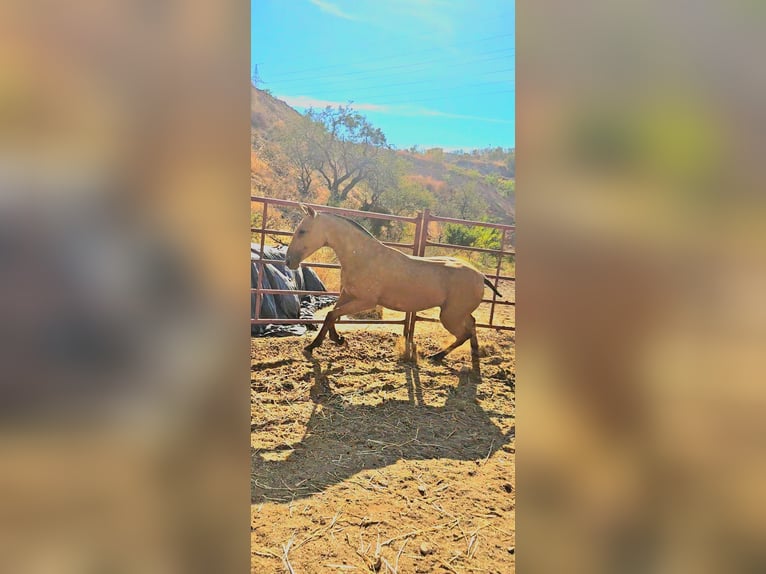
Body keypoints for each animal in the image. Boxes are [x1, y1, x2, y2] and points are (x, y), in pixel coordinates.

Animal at [285, 204, 503, 361]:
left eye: (302, 231)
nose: (288, 261)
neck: (363, 257)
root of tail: (481, 276)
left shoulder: (366, 301)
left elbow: (332, 314)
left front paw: (318, 345)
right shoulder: (347, 294)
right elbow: (332, 315)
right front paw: (333, 341)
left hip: (450, 316)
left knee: (463, 333)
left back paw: (437, 356)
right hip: (458, 313)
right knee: (472, 324)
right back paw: (474, 353)